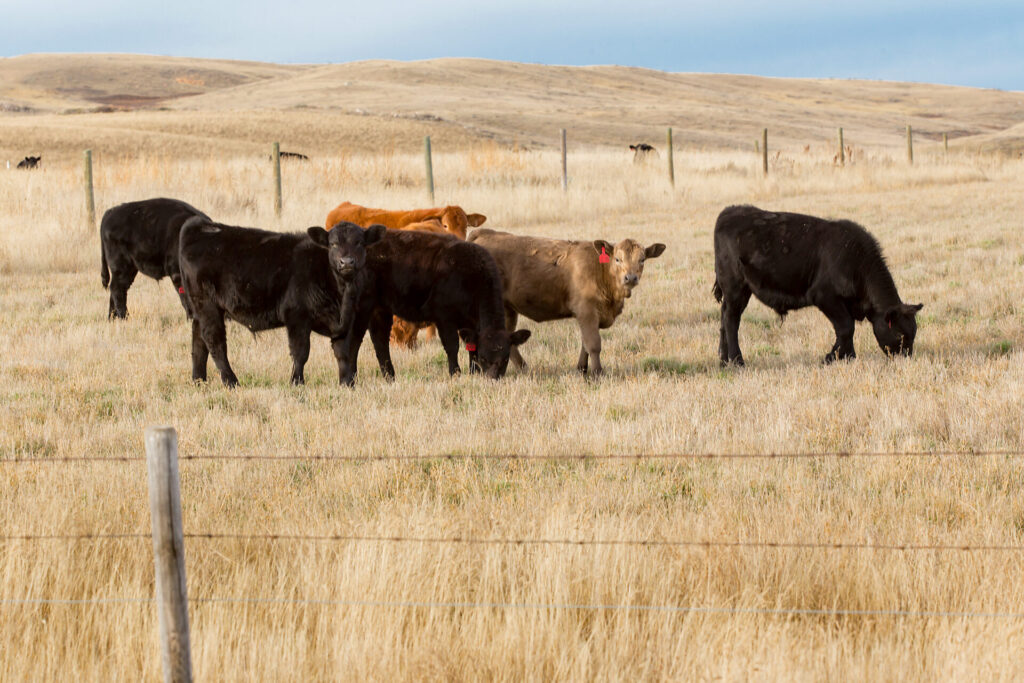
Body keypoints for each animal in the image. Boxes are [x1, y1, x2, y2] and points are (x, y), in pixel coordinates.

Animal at [179, 220, 380, 389]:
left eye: (359, 243)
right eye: (333, 244)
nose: (346, 262)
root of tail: (200, 227)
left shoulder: (344, 322)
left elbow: (343, 353)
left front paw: (347, 384)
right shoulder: (296, 315)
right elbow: (301, 352)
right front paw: (297, 382)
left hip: (200, 310)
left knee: (198, 342)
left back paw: (199, 381)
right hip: (208, 306)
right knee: (215, 342)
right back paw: (231, 382)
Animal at [331, 224, 532, 385]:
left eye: (505, 359)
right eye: (484, 357)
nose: (492, 379)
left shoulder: (471, 322)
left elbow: (470, 349)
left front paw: (473, 373)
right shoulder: (444, 316)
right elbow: (452, 346)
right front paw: (455, 374)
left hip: (379, 309)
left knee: (380, 341)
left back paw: (390, 378)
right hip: (361, 307)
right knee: (354, 341)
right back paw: (350, 379)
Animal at [468, 229, 667, 378]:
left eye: (642, 260)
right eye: (617, 259)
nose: (630, 278)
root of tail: (484, 233)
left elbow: (584, 343)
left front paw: (582, 369)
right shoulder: (586, 310)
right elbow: (593, 343)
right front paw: (598, 373)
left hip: (508, 309)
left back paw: (523, 368)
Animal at [712, 206, 929, 368]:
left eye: (914, 332)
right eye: (900, 335)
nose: (906, 359)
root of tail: (730, 211)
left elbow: (847, 329)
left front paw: (847, 356)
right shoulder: (824, 296)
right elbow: (846, 327)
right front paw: (833, 357)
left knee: (724, 317)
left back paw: (723, 360)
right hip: (735, 287)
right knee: (731, 320)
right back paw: (737, 361)